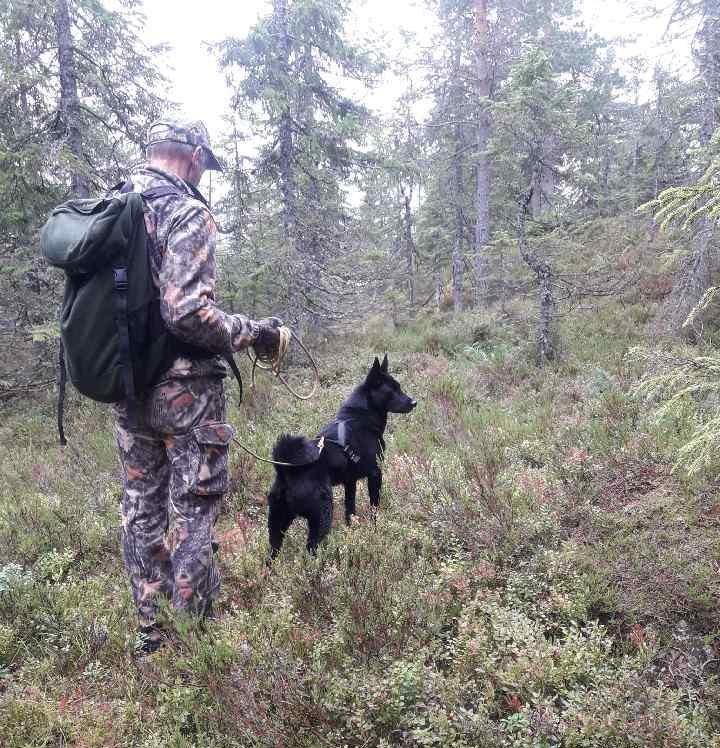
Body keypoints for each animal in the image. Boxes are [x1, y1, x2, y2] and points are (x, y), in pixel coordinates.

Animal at [268, 354, 416, 560]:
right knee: (311, 549)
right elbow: (374, 506)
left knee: (272, 554)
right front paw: (375, 528)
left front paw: (351, 530)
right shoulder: (375, 473)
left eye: (399, 386)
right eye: (391, 390)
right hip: (322, 515)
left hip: (277, 523)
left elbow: (350, 509)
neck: (359, 417)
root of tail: (286, 472)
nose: (414, 402)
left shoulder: (350, 482)